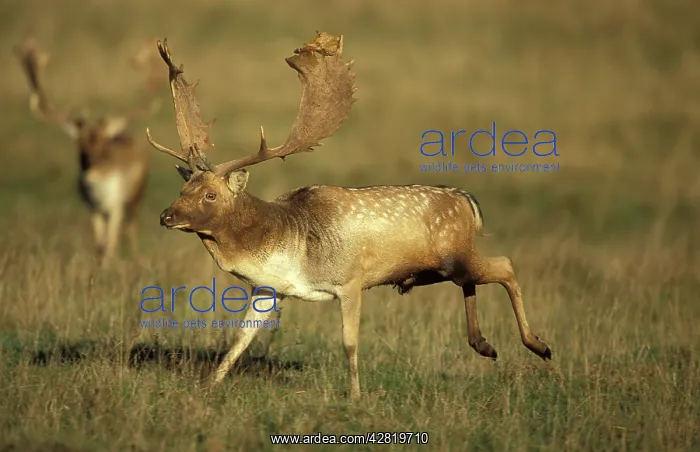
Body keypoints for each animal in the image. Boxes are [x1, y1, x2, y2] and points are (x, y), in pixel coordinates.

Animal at [13, 32, 162, 267]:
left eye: (103, 143)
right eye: (79, 144)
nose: (91, 170)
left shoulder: (116, 206)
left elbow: (110, 244)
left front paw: (109, 266)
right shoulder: (92, 208)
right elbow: (99, 245)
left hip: (136, 197)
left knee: (131, 229)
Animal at [146, 32, 552, 400]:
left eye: (211, 194)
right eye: (183, 189)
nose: (166, 216)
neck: (288, 246)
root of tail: (468, 202)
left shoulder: (351, 280)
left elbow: (349, 342)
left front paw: (356, 397)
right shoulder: (269, 289)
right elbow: (241, 337)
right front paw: (208, 386)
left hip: (456, 254)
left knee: (506, 264)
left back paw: (540, 346)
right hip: (444, 267)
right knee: (473, 280)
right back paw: (485, 345)